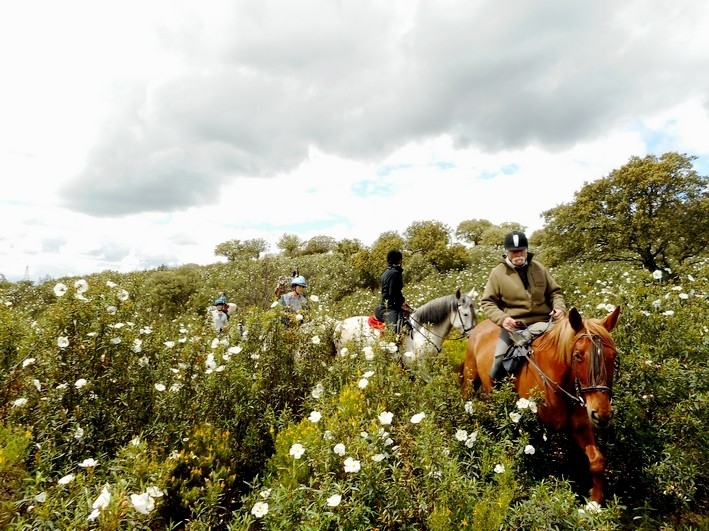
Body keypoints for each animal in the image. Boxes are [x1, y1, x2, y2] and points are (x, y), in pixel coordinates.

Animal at [460, 306, 620, 504]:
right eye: (578, 355)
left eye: (613, 356)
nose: (602, 414)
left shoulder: (581, 427)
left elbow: (597, 461)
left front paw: (594, 501)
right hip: (470, 380)